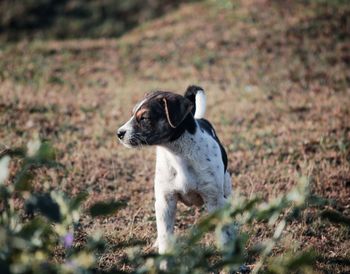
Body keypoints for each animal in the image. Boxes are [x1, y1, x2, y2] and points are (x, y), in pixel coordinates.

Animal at [116, 86, 234, 255]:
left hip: (226, 189)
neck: (178, 153)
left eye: (144, 118)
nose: (118, 133)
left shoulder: (214, 200)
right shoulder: (165, 202)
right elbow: (165, 234)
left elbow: (224, 233)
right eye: (132, 114)